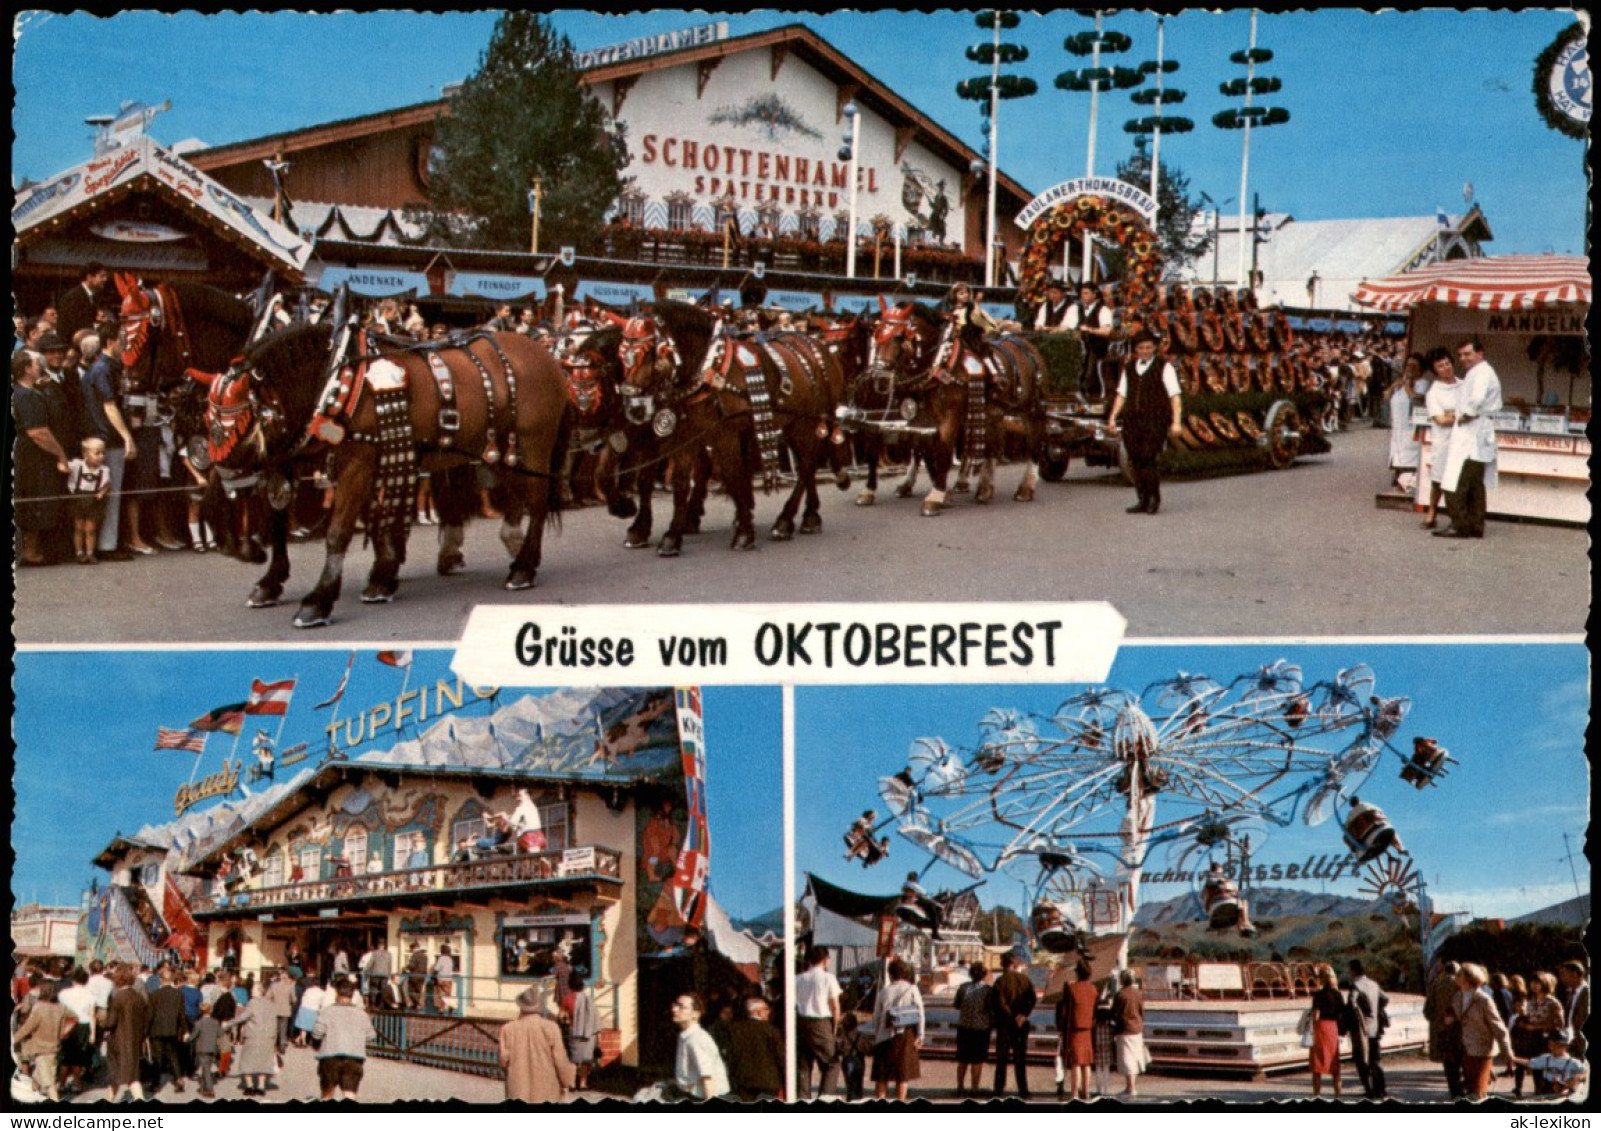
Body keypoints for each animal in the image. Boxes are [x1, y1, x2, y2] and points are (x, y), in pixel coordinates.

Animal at [196, 318, 569, 624]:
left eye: (240, 429)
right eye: (210, 426)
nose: (228, 493)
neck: (334, 382)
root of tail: (548, 357)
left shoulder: (357, 463)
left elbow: (339, 531)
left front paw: (319, 599)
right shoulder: (301, 458)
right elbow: (287, 524)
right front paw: (274, 581)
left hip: (532, 445)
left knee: (537, 503)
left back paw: (523, 568)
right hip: (500, 451)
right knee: (517, 498)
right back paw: (512, 551)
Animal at [611, 299, 851, 554]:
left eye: (650, 353)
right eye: (622, 355)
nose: (634, 408)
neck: (710, 368)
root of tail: (822, 349)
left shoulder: (724, 434)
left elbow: (733, 475)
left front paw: (744, 532)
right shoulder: (683, 435)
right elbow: (679, 483)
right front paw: (671, 536)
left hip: (805, 423)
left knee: (807, 465)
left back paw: (785, 521)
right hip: (793, 424)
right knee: (809, 462)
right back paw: (809, 516)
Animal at [858, 297, 1043, 512]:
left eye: (897, 337)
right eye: (876, 337)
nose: (879, 379)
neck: (941, 362)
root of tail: (1027, 345)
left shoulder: (950, 416)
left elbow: (943, 450)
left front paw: (936, 495)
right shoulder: (919, 417)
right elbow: (920, 450)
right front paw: (935, 489)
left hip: (1030, 409)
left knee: (1034, 441)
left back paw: (1026, 487)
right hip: (993, 411)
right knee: (993, 445)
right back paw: (984, 488)